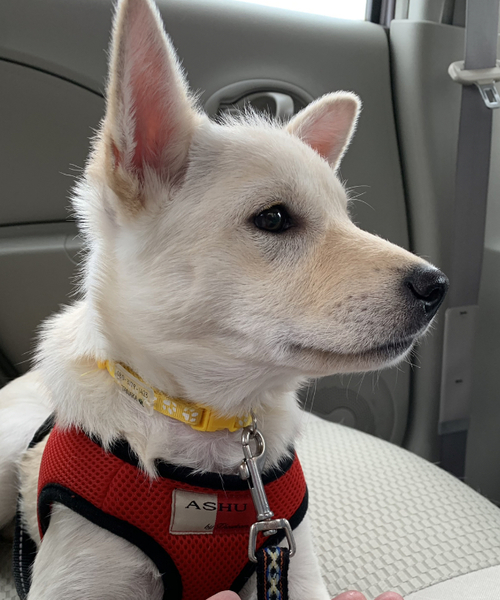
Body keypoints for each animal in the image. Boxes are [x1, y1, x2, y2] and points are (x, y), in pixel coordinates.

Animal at [0, 0, 448, 599]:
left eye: (346, 218)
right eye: (274, 218)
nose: (438, 287)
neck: (215, 437)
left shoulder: (289, 560)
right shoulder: (81, 573)